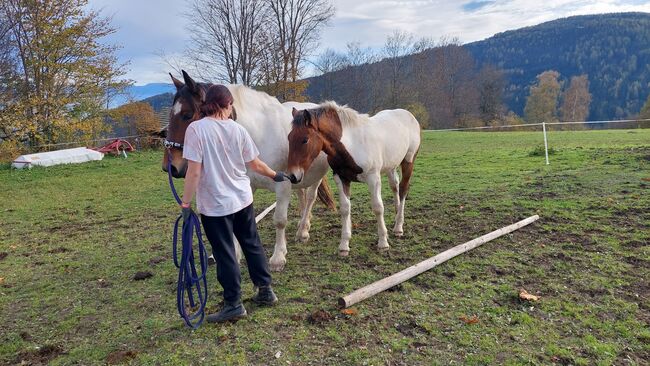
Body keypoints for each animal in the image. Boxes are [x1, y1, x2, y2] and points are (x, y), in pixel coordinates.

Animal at [284, 101, 418, 256]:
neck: (352, 143)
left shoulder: (373, 178)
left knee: (403, 188)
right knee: (394, 185)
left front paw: (383, 243)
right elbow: (345, 208)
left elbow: (378, 207)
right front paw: (344, 245)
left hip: (408, 162)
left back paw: (398, 227)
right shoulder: (341, 178)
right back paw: (396, 215)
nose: (292, 176)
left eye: (305, 140)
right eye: (289, 138)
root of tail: (407, 114)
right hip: (391, 165)